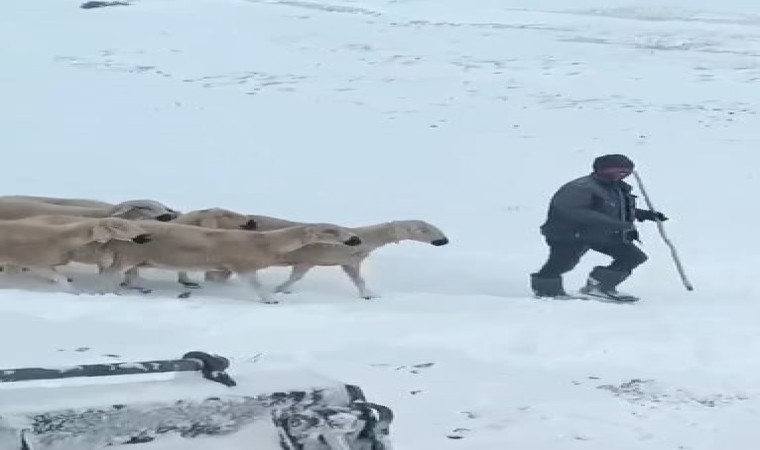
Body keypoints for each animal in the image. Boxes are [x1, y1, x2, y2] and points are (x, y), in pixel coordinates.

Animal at [99, 221, 364, 302]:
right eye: (331, 230)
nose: (355, 239)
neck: (267, 243)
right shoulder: (243, 265)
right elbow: (256, 285)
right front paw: (269, 299)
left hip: (134, 258)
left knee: (122, 273)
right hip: (129, 255)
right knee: (112, 273)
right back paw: (113, 293)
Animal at [205, 218, 448, 298]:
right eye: (424, 229)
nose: (444, 240)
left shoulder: (349, 261)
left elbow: (357, 279)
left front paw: (369, 294)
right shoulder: (310, 258)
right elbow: (297, 275)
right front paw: (280, 288)